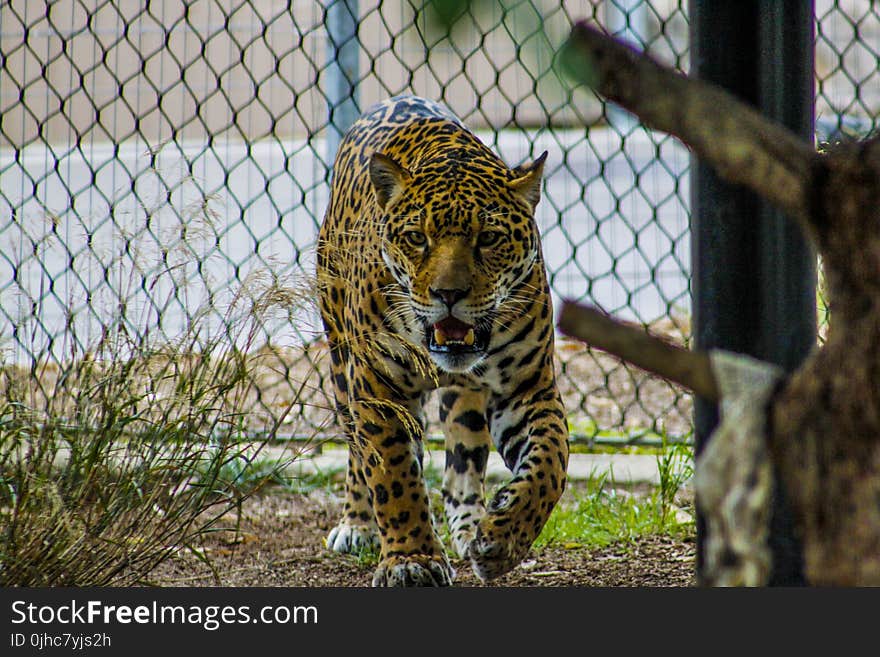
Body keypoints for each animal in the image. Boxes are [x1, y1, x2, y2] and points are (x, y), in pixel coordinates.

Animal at [316, 95, 572, 588]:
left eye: (488, 238)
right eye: (417, 238)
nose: (448, 294)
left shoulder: (527, 387)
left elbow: (551, 463)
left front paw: (503, 537)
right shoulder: (378, 386)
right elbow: (393, 475)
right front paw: (411, 560)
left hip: (465, 400)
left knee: (462, 465)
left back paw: (471, 527)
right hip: (341, 362)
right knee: (358, 452)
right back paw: (357, 525)